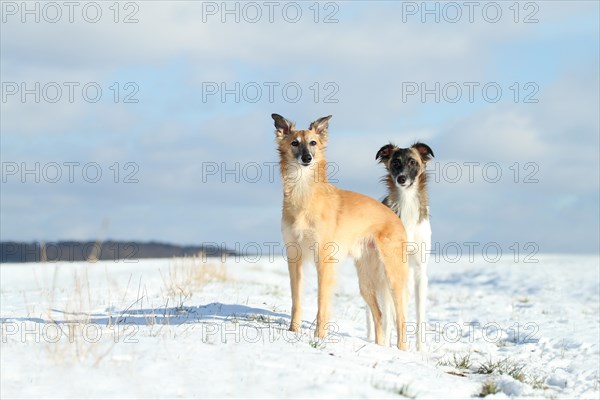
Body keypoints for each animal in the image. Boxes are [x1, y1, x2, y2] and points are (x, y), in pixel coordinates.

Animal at [274, 113, 410, 350]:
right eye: (294, 143)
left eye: (313, 142)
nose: (307, 158)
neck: (304, 194)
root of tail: (395, 216)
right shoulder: (294, 257)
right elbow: (296, 299)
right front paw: (293, 331)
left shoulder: (324, 260)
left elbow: (322, 303)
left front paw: (319, 336)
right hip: (366, 281)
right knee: (380, 316)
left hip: (393, 276)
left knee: (400, 318)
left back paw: (402, 352)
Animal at [364, 141, 434, 350]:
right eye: (395, 162)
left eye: (412, 162)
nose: (401, 178)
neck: (407, 204)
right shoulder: (386, 272)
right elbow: (386, 317)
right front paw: (386, 346)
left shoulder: (419, 272)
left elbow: (418, 316)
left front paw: (420, 351)